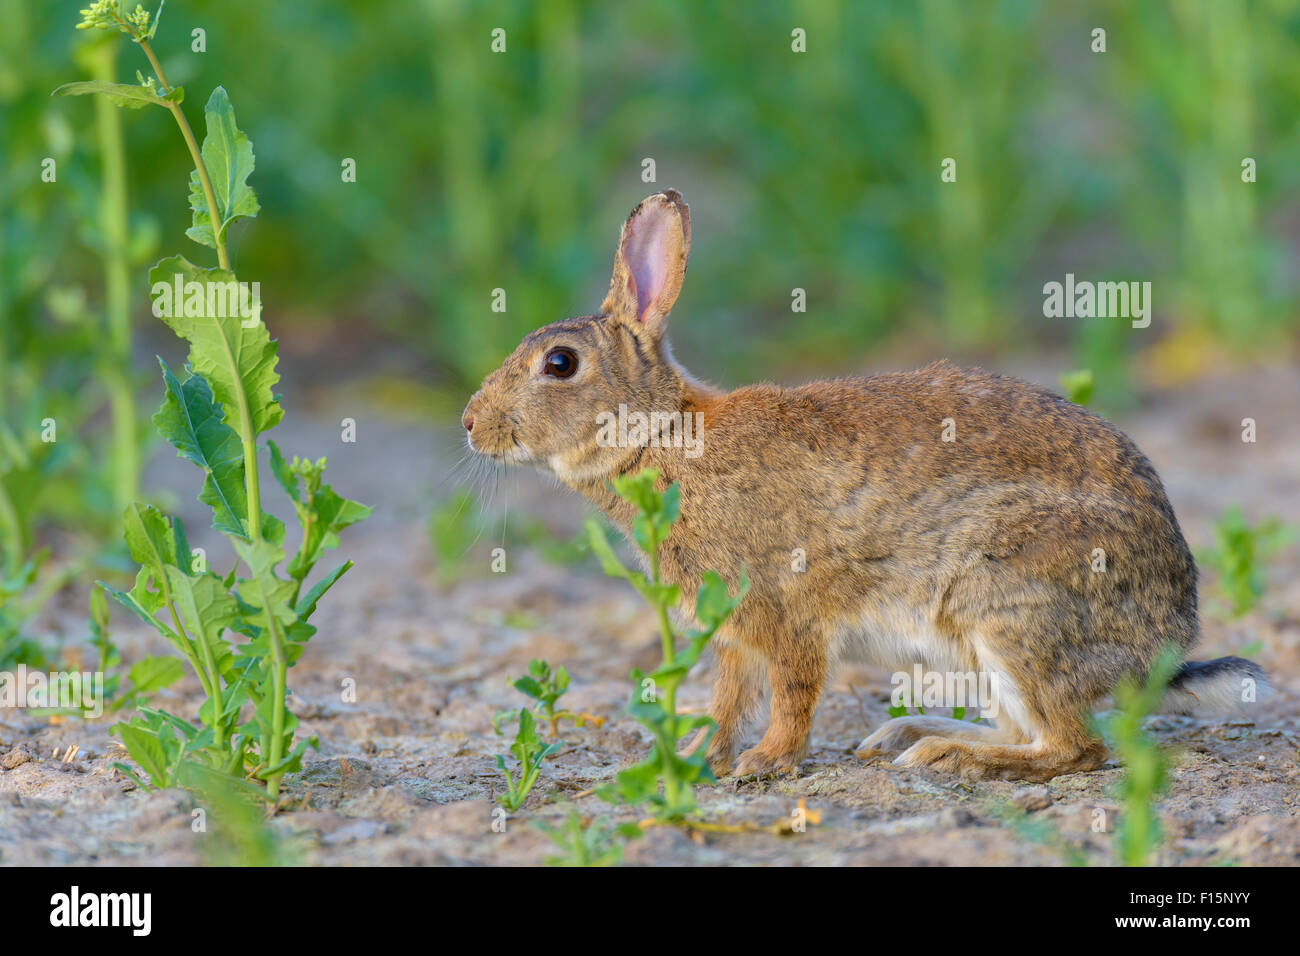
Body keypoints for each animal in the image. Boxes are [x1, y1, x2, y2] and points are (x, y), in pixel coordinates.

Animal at [463, 189, 1268, 782]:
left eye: (559, 363)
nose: (471, 425)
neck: (664, 442)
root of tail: (1164, 643)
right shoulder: (731, 632)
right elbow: (726, 702)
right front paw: (693, 761)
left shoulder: (784, 610)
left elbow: (791, 694)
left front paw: (765, 764)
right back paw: (908, 733)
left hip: (1009, 607)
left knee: (1076, 747)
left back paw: (945, 753)